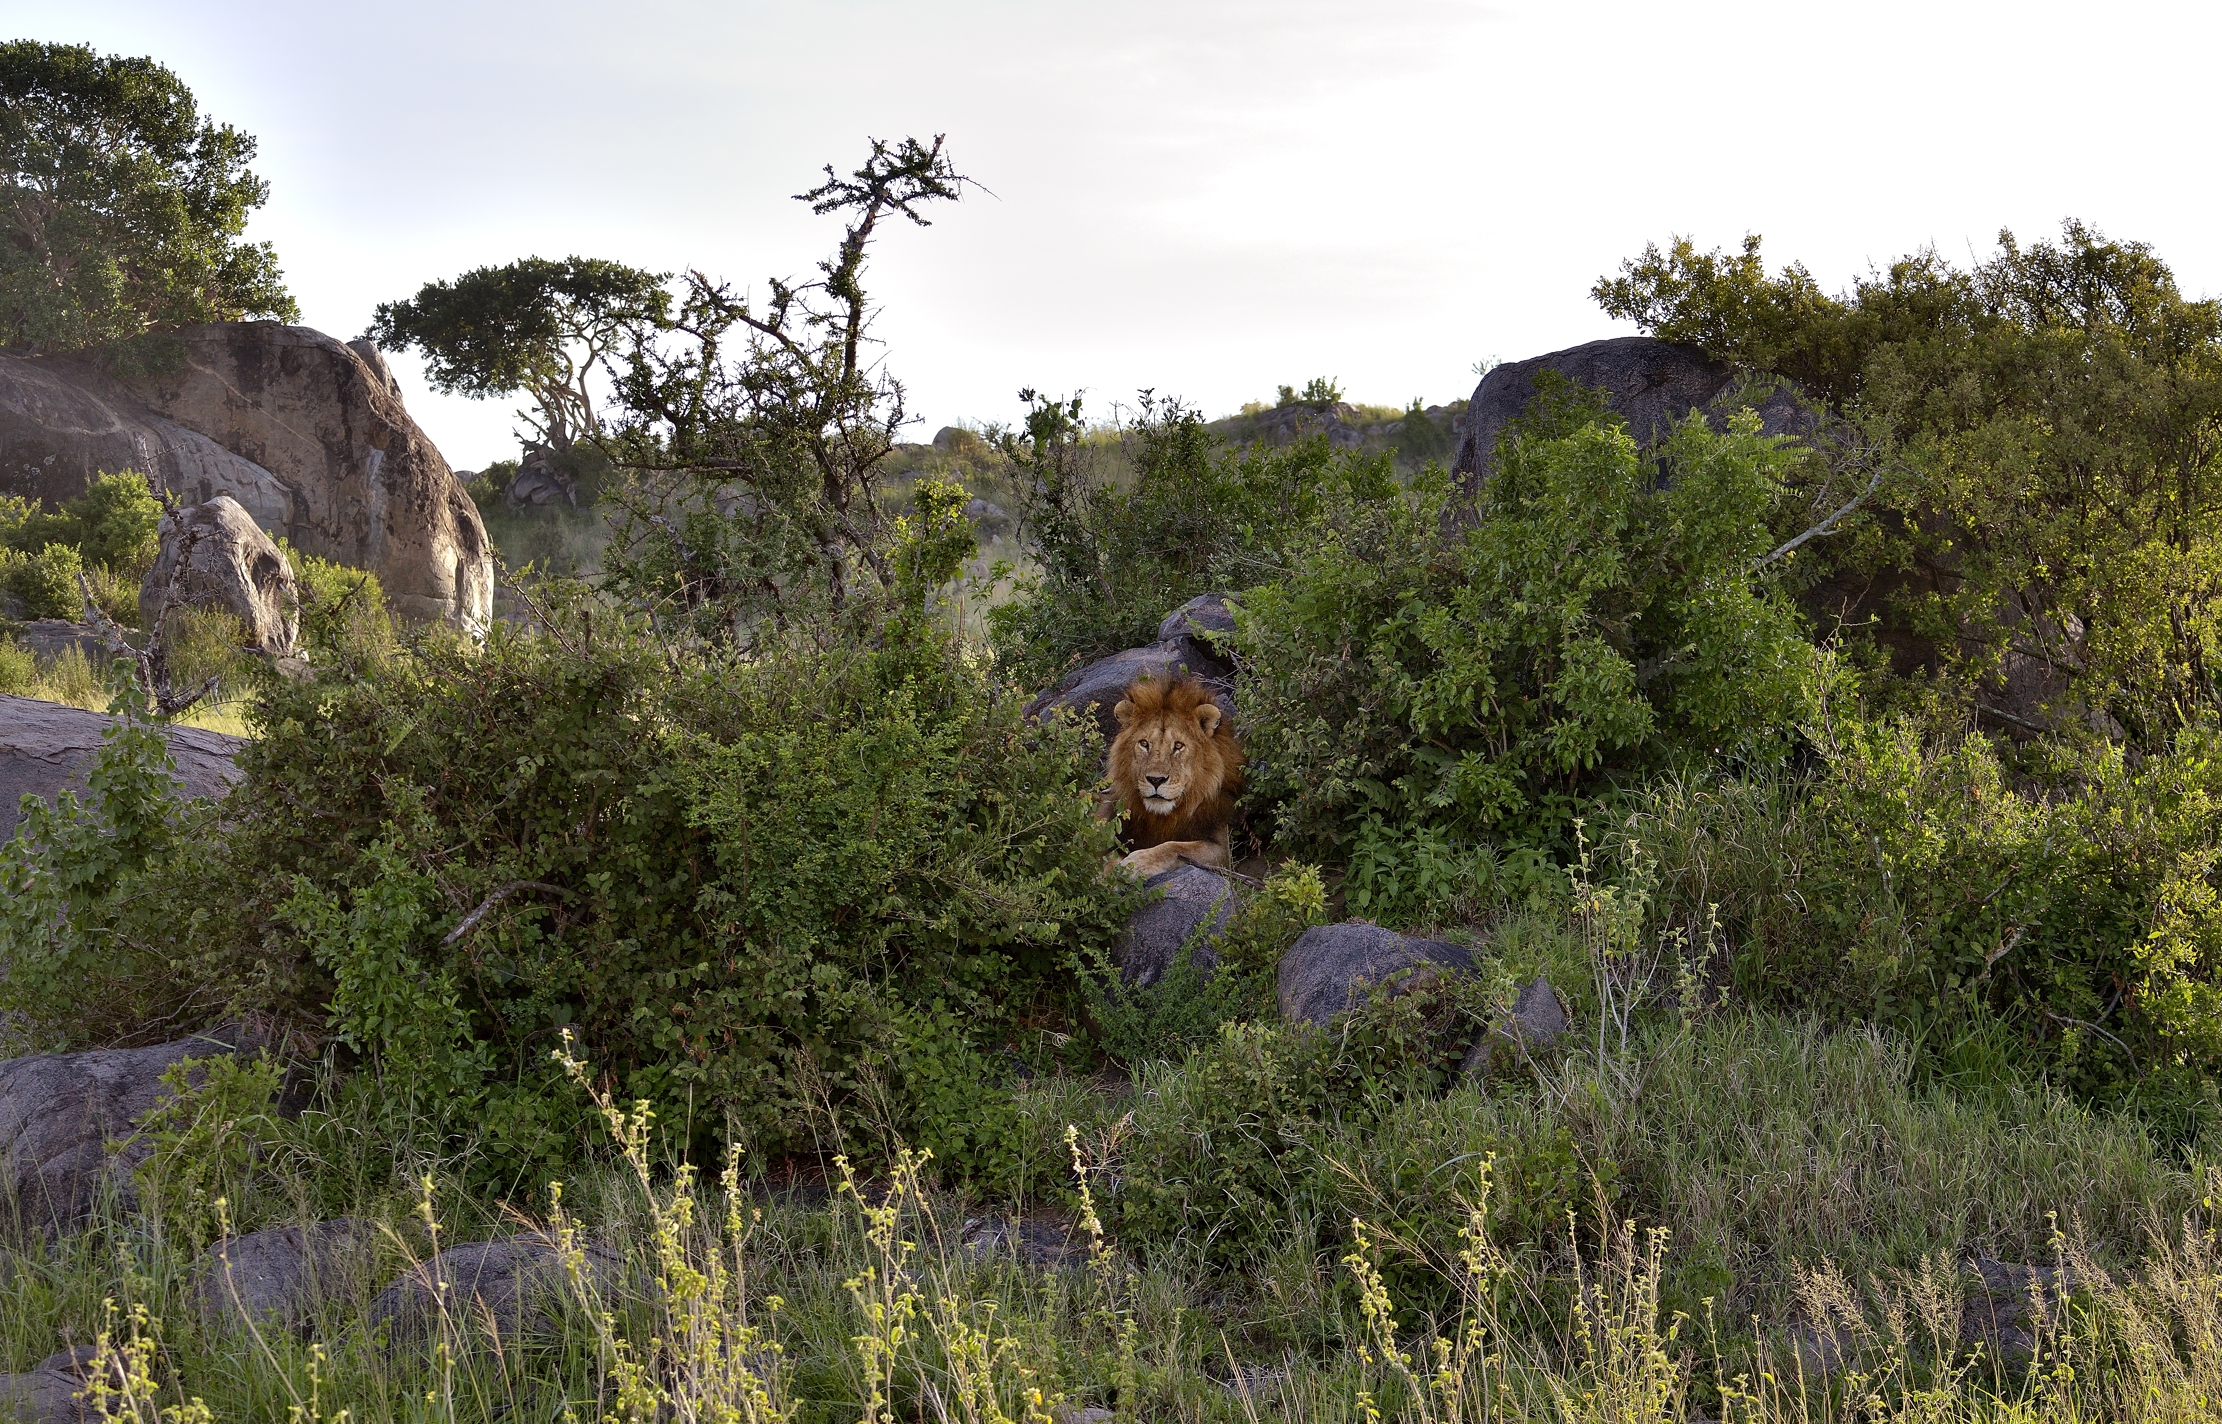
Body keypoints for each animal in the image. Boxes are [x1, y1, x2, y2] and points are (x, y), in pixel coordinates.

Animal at [1100, 673, 1243, 878]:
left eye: (1178, 746)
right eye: (1144, 743)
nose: (1156, 780)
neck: (1163, 818)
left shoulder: (1222, 850)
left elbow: (1175, 847)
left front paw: (1136, 863)